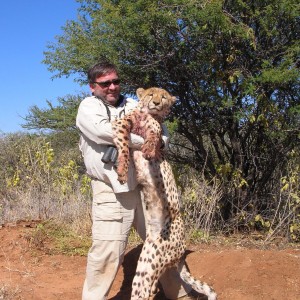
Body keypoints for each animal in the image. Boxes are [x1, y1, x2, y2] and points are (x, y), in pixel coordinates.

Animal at [111, 87, 217, 300]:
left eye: (164, 97)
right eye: (151, 94)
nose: (157, 103)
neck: (147, 114)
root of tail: (181, 251)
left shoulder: (154, 129)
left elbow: (154, 136)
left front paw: (149, 149)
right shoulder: (123, 124)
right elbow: (124, 144)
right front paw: (122, 169)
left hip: (155, 261)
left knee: (149, 289)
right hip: (146, 261)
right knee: (142, 288)